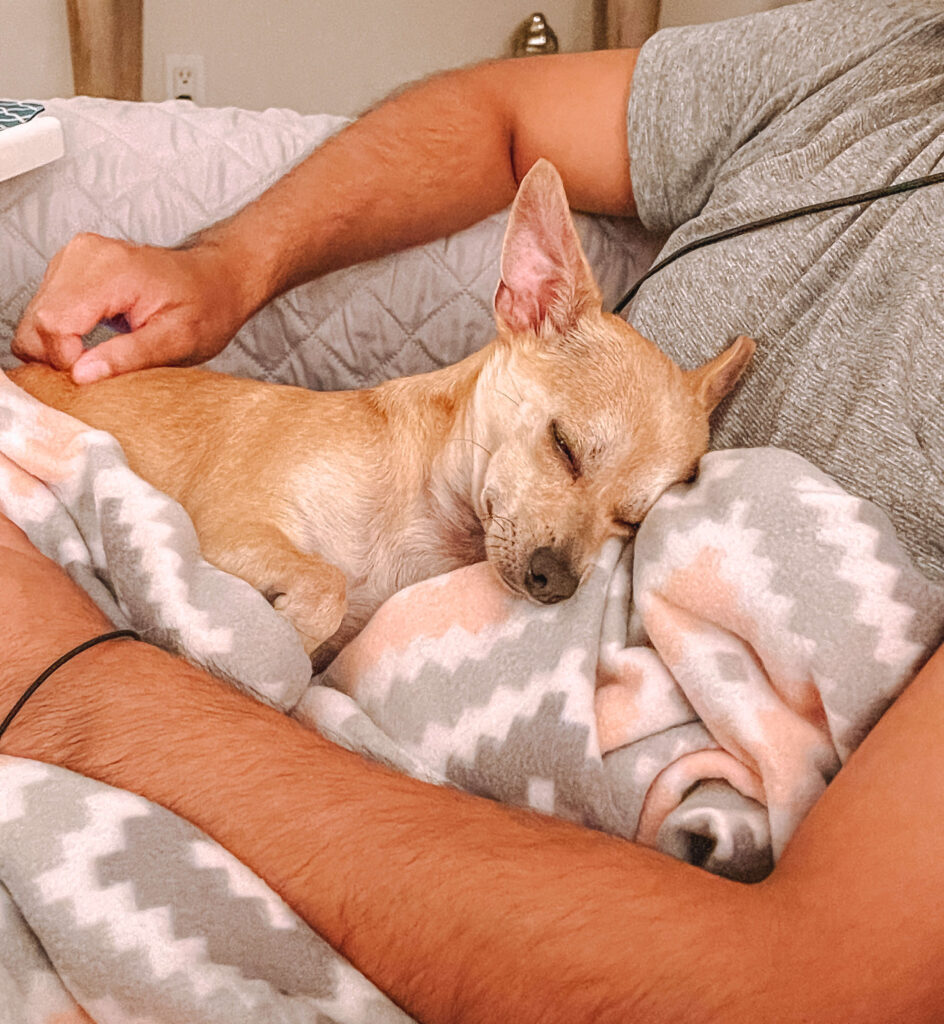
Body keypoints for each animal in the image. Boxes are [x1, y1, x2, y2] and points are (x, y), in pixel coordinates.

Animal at [11, 158, 753, 667]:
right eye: (564, 446)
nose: (557, 582)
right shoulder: (227, 525)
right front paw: (270, 639)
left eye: (631, 522)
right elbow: (327, 582)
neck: (427, 525)